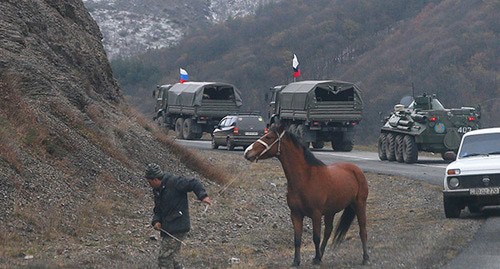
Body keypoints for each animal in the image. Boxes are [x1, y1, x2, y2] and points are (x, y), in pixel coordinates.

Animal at [244, 123, 370, 266]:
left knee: (362, 230)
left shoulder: (316, 214)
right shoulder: (296, 214)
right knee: (328, 231)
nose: (247, 152)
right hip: (330, 211)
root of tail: (356, 169)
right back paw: (320, 256)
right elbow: (297, 238)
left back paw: (365, 258)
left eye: (269, 137)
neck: (306, 178)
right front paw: (297, 261)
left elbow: (316, 237)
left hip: (360, 204)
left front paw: (315, 259)